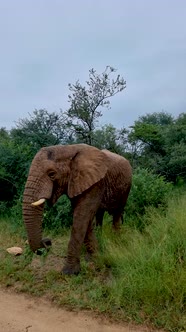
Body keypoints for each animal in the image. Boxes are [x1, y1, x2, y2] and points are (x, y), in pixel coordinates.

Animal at [22, 144, 132, 276]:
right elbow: (86, 219)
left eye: (52, 174)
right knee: (100, 214)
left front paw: (69, 272)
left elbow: (81, 218)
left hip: (126, 188)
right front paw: (93, 258)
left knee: (117, 214)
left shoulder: (95, 183)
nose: (48, 241)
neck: (68, 148)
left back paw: (116, 240)